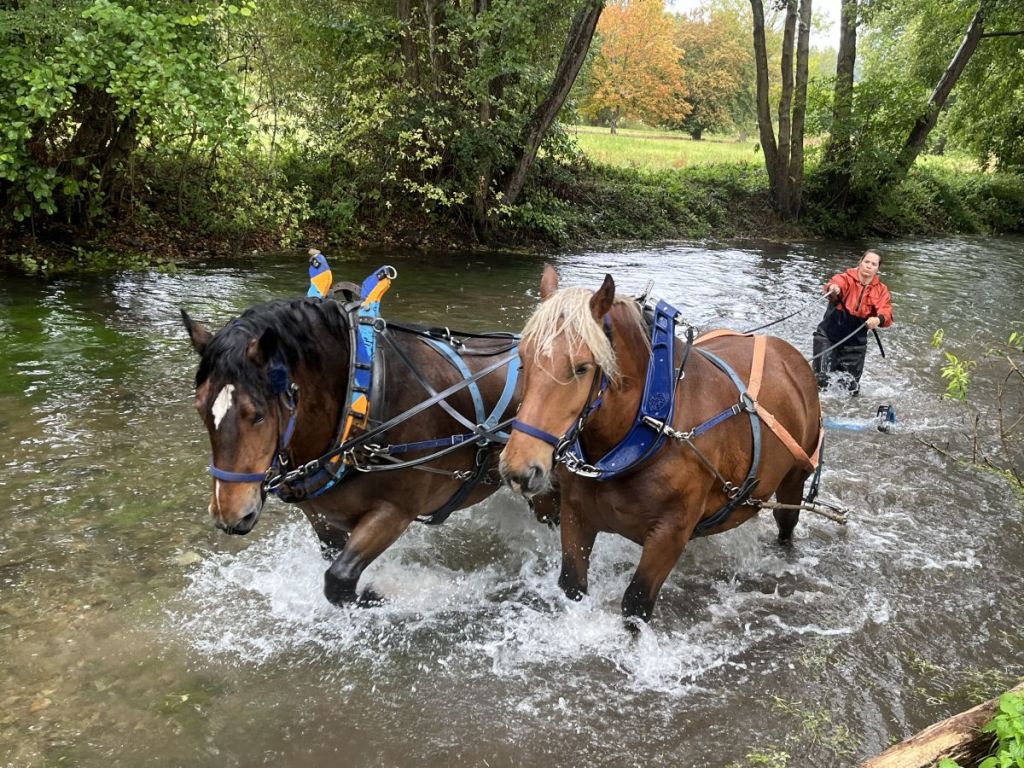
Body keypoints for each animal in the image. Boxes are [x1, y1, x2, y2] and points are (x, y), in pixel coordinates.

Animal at [182, 291, 556, 607]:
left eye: (257, 414)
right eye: (200, 407)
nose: (229, 514)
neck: (361, 398)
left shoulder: (394, 512)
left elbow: (339, 579)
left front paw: (377, 595)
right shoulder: (322, 518)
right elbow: (333, 565)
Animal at [499, 265, 822, 627]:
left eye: (582, 367)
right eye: (523, 358)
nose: (519, 467)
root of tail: (788, 354)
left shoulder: (669, 535)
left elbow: (636, 603)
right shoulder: (575, 515)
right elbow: (572, 585)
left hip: (794, 480)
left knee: (787, 522)